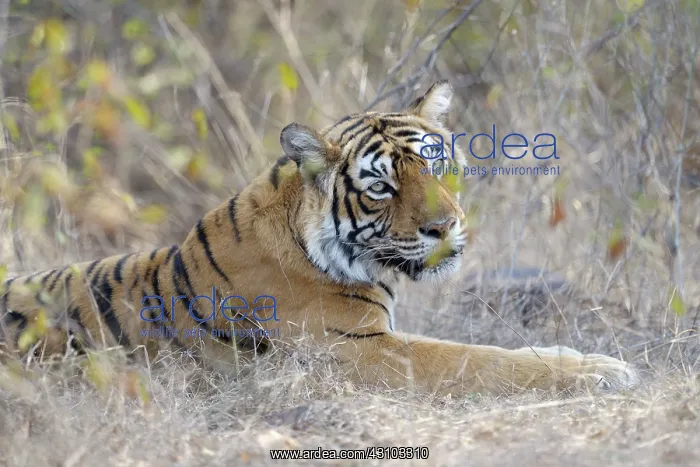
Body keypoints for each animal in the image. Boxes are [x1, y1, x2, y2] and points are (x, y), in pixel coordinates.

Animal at [0, 81, 637, 396]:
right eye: (381, 186)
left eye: (437, 165)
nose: (446, 226)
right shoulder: (360, 350)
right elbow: (476, 360)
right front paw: (599, 373)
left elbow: (501, 352)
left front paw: (586, 358)